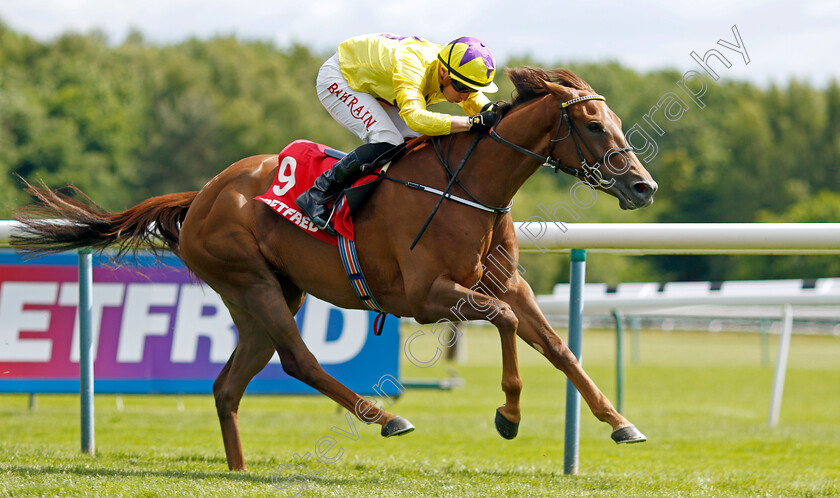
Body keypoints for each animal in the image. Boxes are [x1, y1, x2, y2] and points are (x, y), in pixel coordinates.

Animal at [11, 67, 656, 470]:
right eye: (593, 125)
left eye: (615, 121)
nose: (642, 187)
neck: (468, 188)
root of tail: (202, 196)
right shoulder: (426, 297)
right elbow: (503, 322)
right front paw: (508, 415)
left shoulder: (507, 282)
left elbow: (557, 345)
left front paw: (620, 422)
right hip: (250, 281)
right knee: (299, 360)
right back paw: (386, 417)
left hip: (271, 294)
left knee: (228, 384)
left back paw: (239, 470)